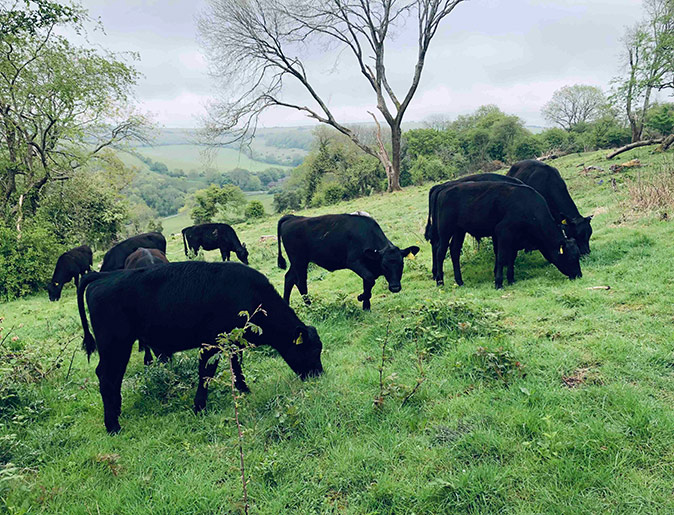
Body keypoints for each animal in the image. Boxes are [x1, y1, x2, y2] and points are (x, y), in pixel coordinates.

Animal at [77, 261, 324, 434]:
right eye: (311, 350)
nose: (318, 375)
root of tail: (104, 275)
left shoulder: (230, 341)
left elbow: (236, 365)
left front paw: (244, 389)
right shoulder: (211, 343)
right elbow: (206, 372)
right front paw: (199, 407)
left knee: (113, 377)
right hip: (115, 344)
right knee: (107, 376)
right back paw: (113, 425)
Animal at [276, 214, 420, 310]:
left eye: (402, 264)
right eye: (384, 266)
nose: (395, 287)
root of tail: (292, 217)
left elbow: (367, 283)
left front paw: (366, 306)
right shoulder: (354, 262)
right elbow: (369, 279)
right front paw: (361, 297)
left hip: (297, 262)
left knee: (289, 278)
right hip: (299, 261)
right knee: (301, 282)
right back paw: (310, 306)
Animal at [432, 181, 582, 289]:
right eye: (571, 257)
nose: (579, 275)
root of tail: (444, 188)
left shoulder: (515, 238)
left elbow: (511, 258)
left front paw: (511, 279)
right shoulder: (503, 232)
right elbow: (501, 257)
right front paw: (499, 283)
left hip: (459, 230)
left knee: (454, 251)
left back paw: (460, 281)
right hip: (445, 230)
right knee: (440, 252)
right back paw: (440, 281)